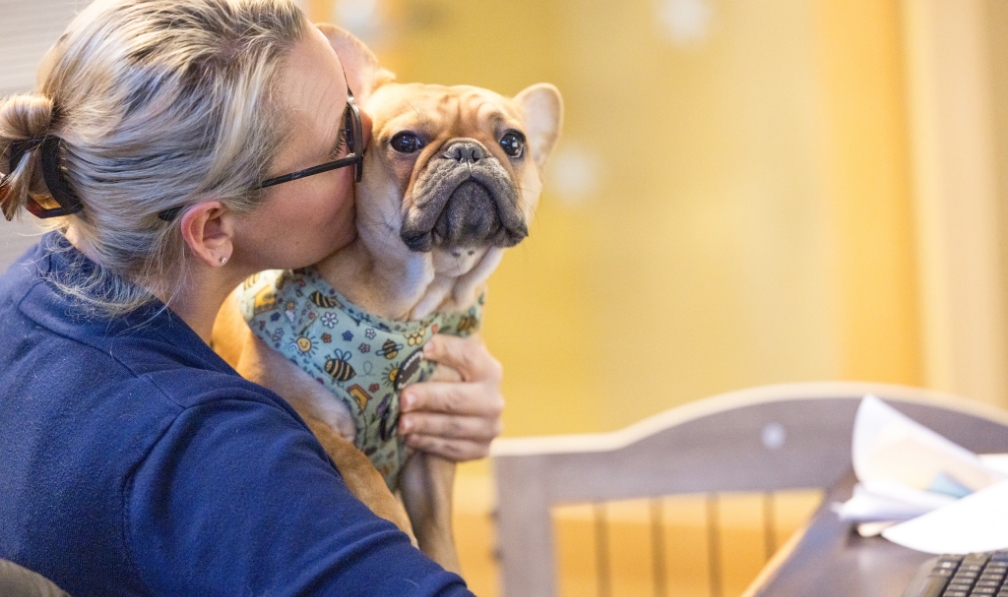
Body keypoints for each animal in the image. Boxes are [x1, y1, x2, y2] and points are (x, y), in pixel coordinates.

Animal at [211, 24, 564, 572]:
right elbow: (358, 465)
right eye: (405, 141)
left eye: (513, 142)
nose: (468, 150)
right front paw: (390, 519)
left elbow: (438, 526)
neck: (409, 302)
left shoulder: (428, 449)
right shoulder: (301, 410)